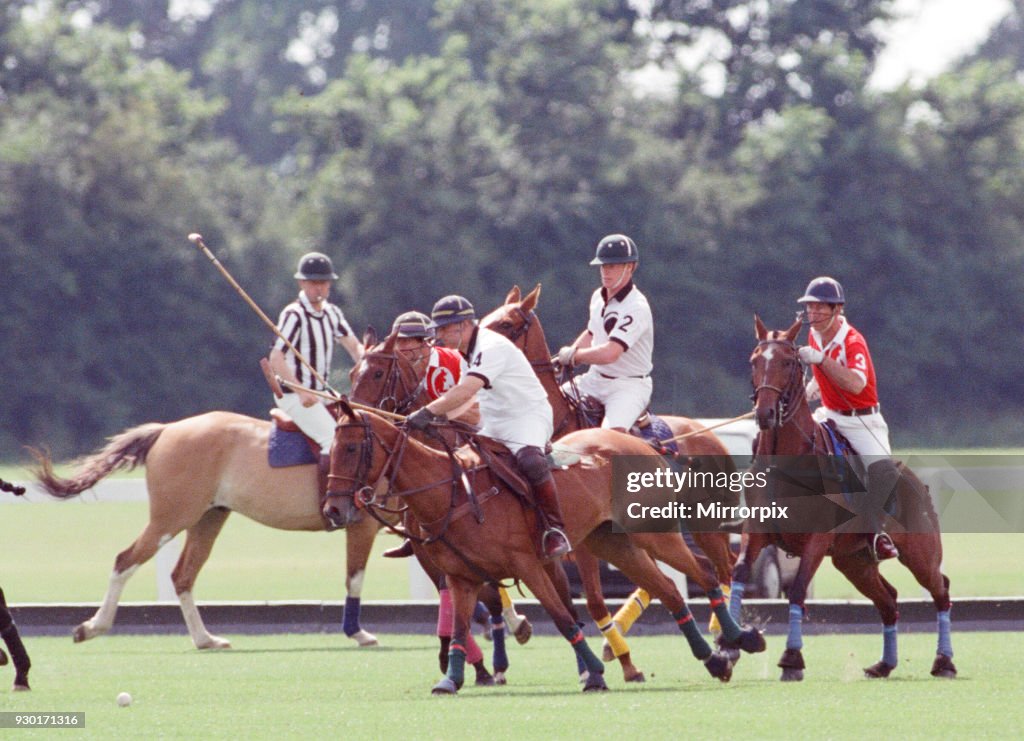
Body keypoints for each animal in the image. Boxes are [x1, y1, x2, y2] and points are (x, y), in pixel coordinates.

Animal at [28, 411, 395, 646]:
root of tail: (166, 430)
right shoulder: (363, 524)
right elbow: (355, 577)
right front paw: (359, 633)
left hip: (208, 517)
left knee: (182, 575)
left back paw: (206, 639)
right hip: (171, 516)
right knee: (126, 560)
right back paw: (92, 627)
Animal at [323, 399, 765, 695]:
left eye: (351, 448)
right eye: (332, 448)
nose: (332, 509)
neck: (451, 493)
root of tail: (644, 444)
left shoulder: (530, 565)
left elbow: (564, 618)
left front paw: (595, 674)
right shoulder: (462, 577)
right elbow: (462, 627)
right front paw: (451, 679)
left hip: (654, 531)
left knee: (705, 573)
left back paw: (739, 640)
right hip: (613, 543)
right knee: (670, 590)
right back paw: (714, 660)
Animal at [733, 315, 954, 679]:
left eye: (788, 362)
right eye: (754, 360)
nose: (765, 413)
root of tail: (918, 484)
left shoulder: (817, 538)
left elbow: (797, 590)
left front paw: (791, 659)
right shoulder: (757, 532)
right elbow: (738, 575)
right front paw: (731, 644)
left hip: (920, 552)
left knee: (941, 590)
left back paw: (944, 662)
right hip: (853, 560)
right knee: (888, 600)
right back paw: (884, 664)